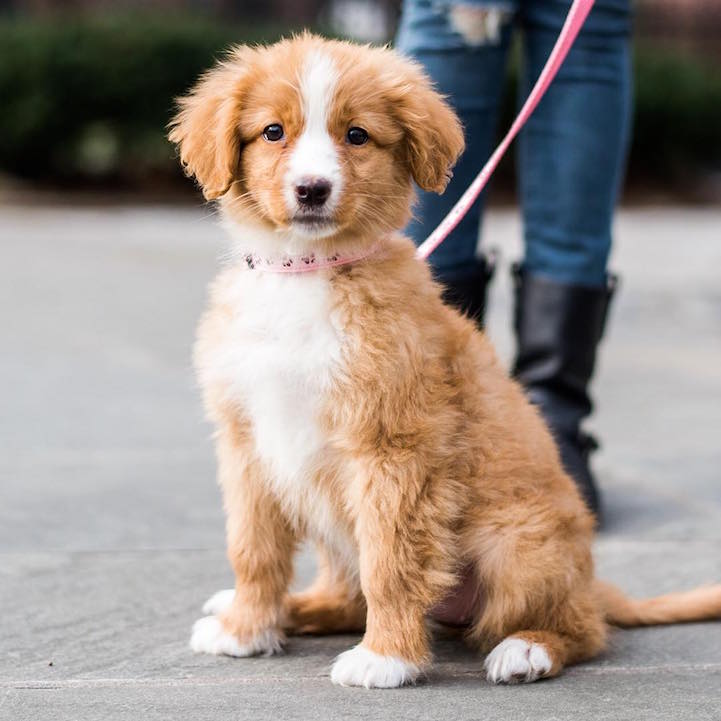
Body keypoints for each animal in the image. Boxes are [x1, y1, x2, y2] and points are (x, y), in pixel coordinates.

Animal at [170, 32, 720, 688]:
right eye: (273, 132)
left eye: (357, 135)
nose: (311, 190)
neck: (305, 271)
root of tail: (591, 582)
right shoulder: (247, 441)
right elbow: (253, 549)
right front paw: (245, 628)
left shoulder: (393, 448)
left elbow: (391, 560)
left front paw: (387, 657)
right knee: (346, 596)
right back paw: (280, 609)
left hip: (518, 545)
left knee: (583, 628)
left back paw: (528, 648)